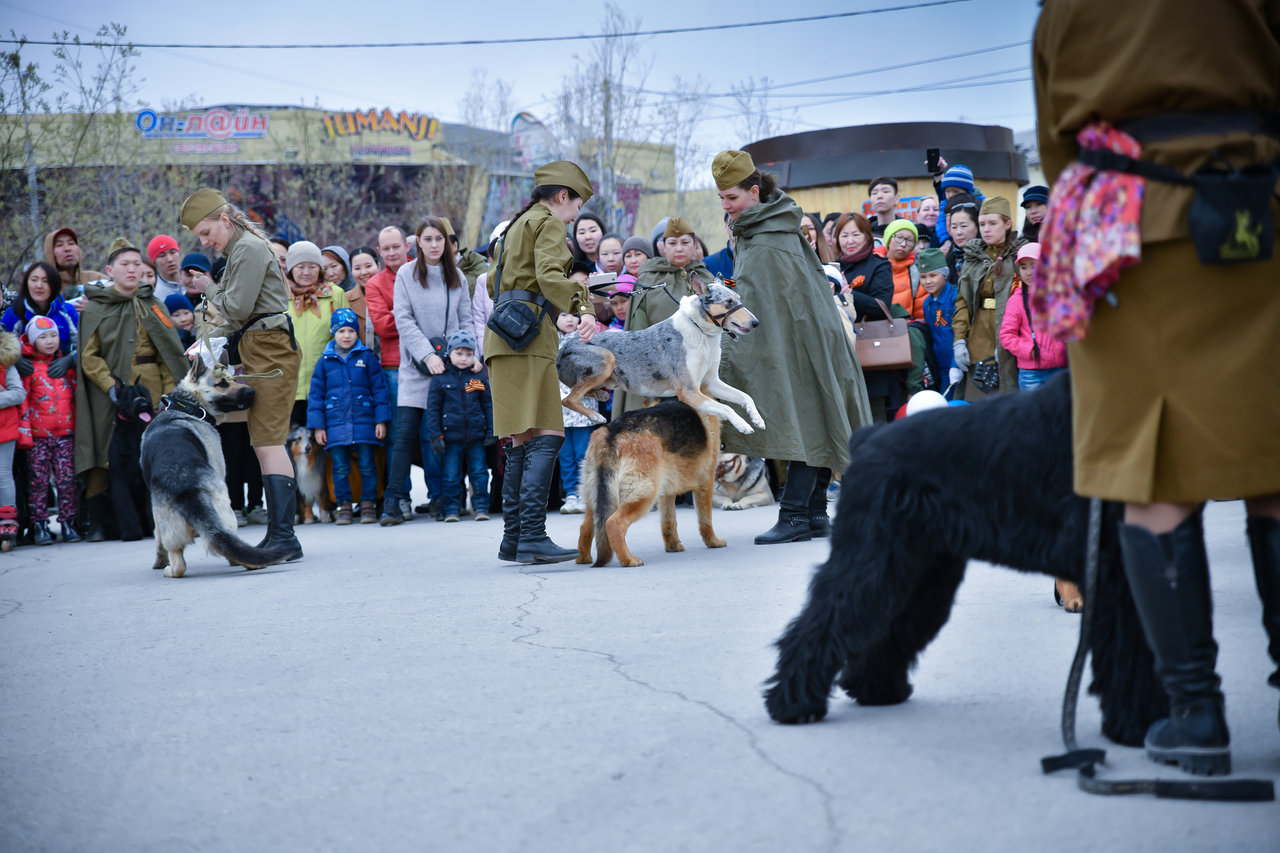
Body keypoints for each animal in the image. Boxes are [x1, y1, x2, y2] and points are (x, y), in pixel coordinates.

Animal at [141, 356, 298, 573]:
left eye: (231, 379)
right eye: (222, 383)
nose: (252, 391)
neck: (187, 406)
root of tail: (186, 485)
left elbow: (157, 537)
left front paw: (159, 560)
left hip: (178, 525)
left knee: (180, 561)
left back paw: (170, 570)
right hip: (223, 515)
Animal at [555, 275, 762, 435]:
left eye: (738, 298)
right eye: (728, 302)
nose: (756, 323)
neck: (702, 333)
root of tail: (563, 348)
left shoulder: (710, 383)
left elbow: (745, 396)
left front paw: (757, 418)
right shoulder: (689, 391)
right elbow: (726, 407)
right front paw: (743, 425)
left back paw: (600, 395)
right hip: (607, 359)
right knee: (568, 399)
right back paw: (595, 415)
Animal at [576, 399, 727, 571]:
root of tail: (613, 432)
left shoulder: (667, 492)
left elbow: (669, 522)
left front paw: (673, 546)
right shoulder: (706, 483)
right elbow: (705, 520)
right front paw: (713, 542)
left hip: (596, 498)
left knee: (586, 527)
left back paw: (584, 558)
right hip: (643, 496)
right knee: (614, 523)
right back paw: (628, 560)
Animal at [757, 371, 1172, 742]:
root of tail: (868, 437)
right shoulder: (1114, 571)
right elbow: (1129, 648)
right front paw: (1138, 725)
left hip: (920, 573)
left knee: (891, 626)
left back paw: (877, 690)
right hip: (870, 561)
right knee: (824, 619)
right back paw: (795, 705)